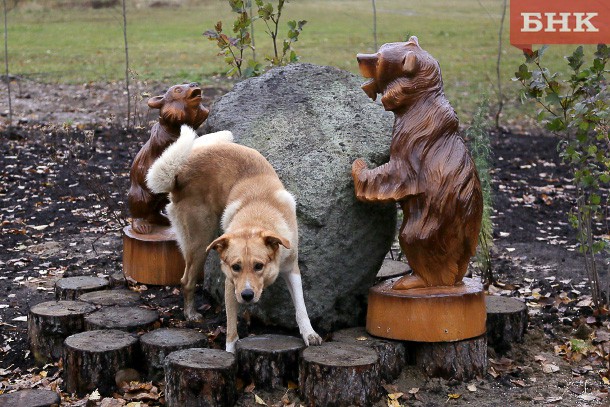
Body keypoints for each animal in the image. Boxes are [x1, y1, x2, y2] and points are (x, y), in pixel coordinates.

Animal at [147, 126, 320, 352]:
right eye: (236, 267)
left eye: (259, 266)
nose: (246, 296)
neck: (256, 215)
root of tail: (178, 174)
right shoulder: (231, 284)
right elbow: (230, 328)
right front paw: (229, 353)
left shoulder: (291, 269)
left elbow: (301, 306)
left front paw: (309, 334)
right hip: (199, 243)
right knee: (187, 280)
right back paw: (191, 314)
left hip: (220, 138)